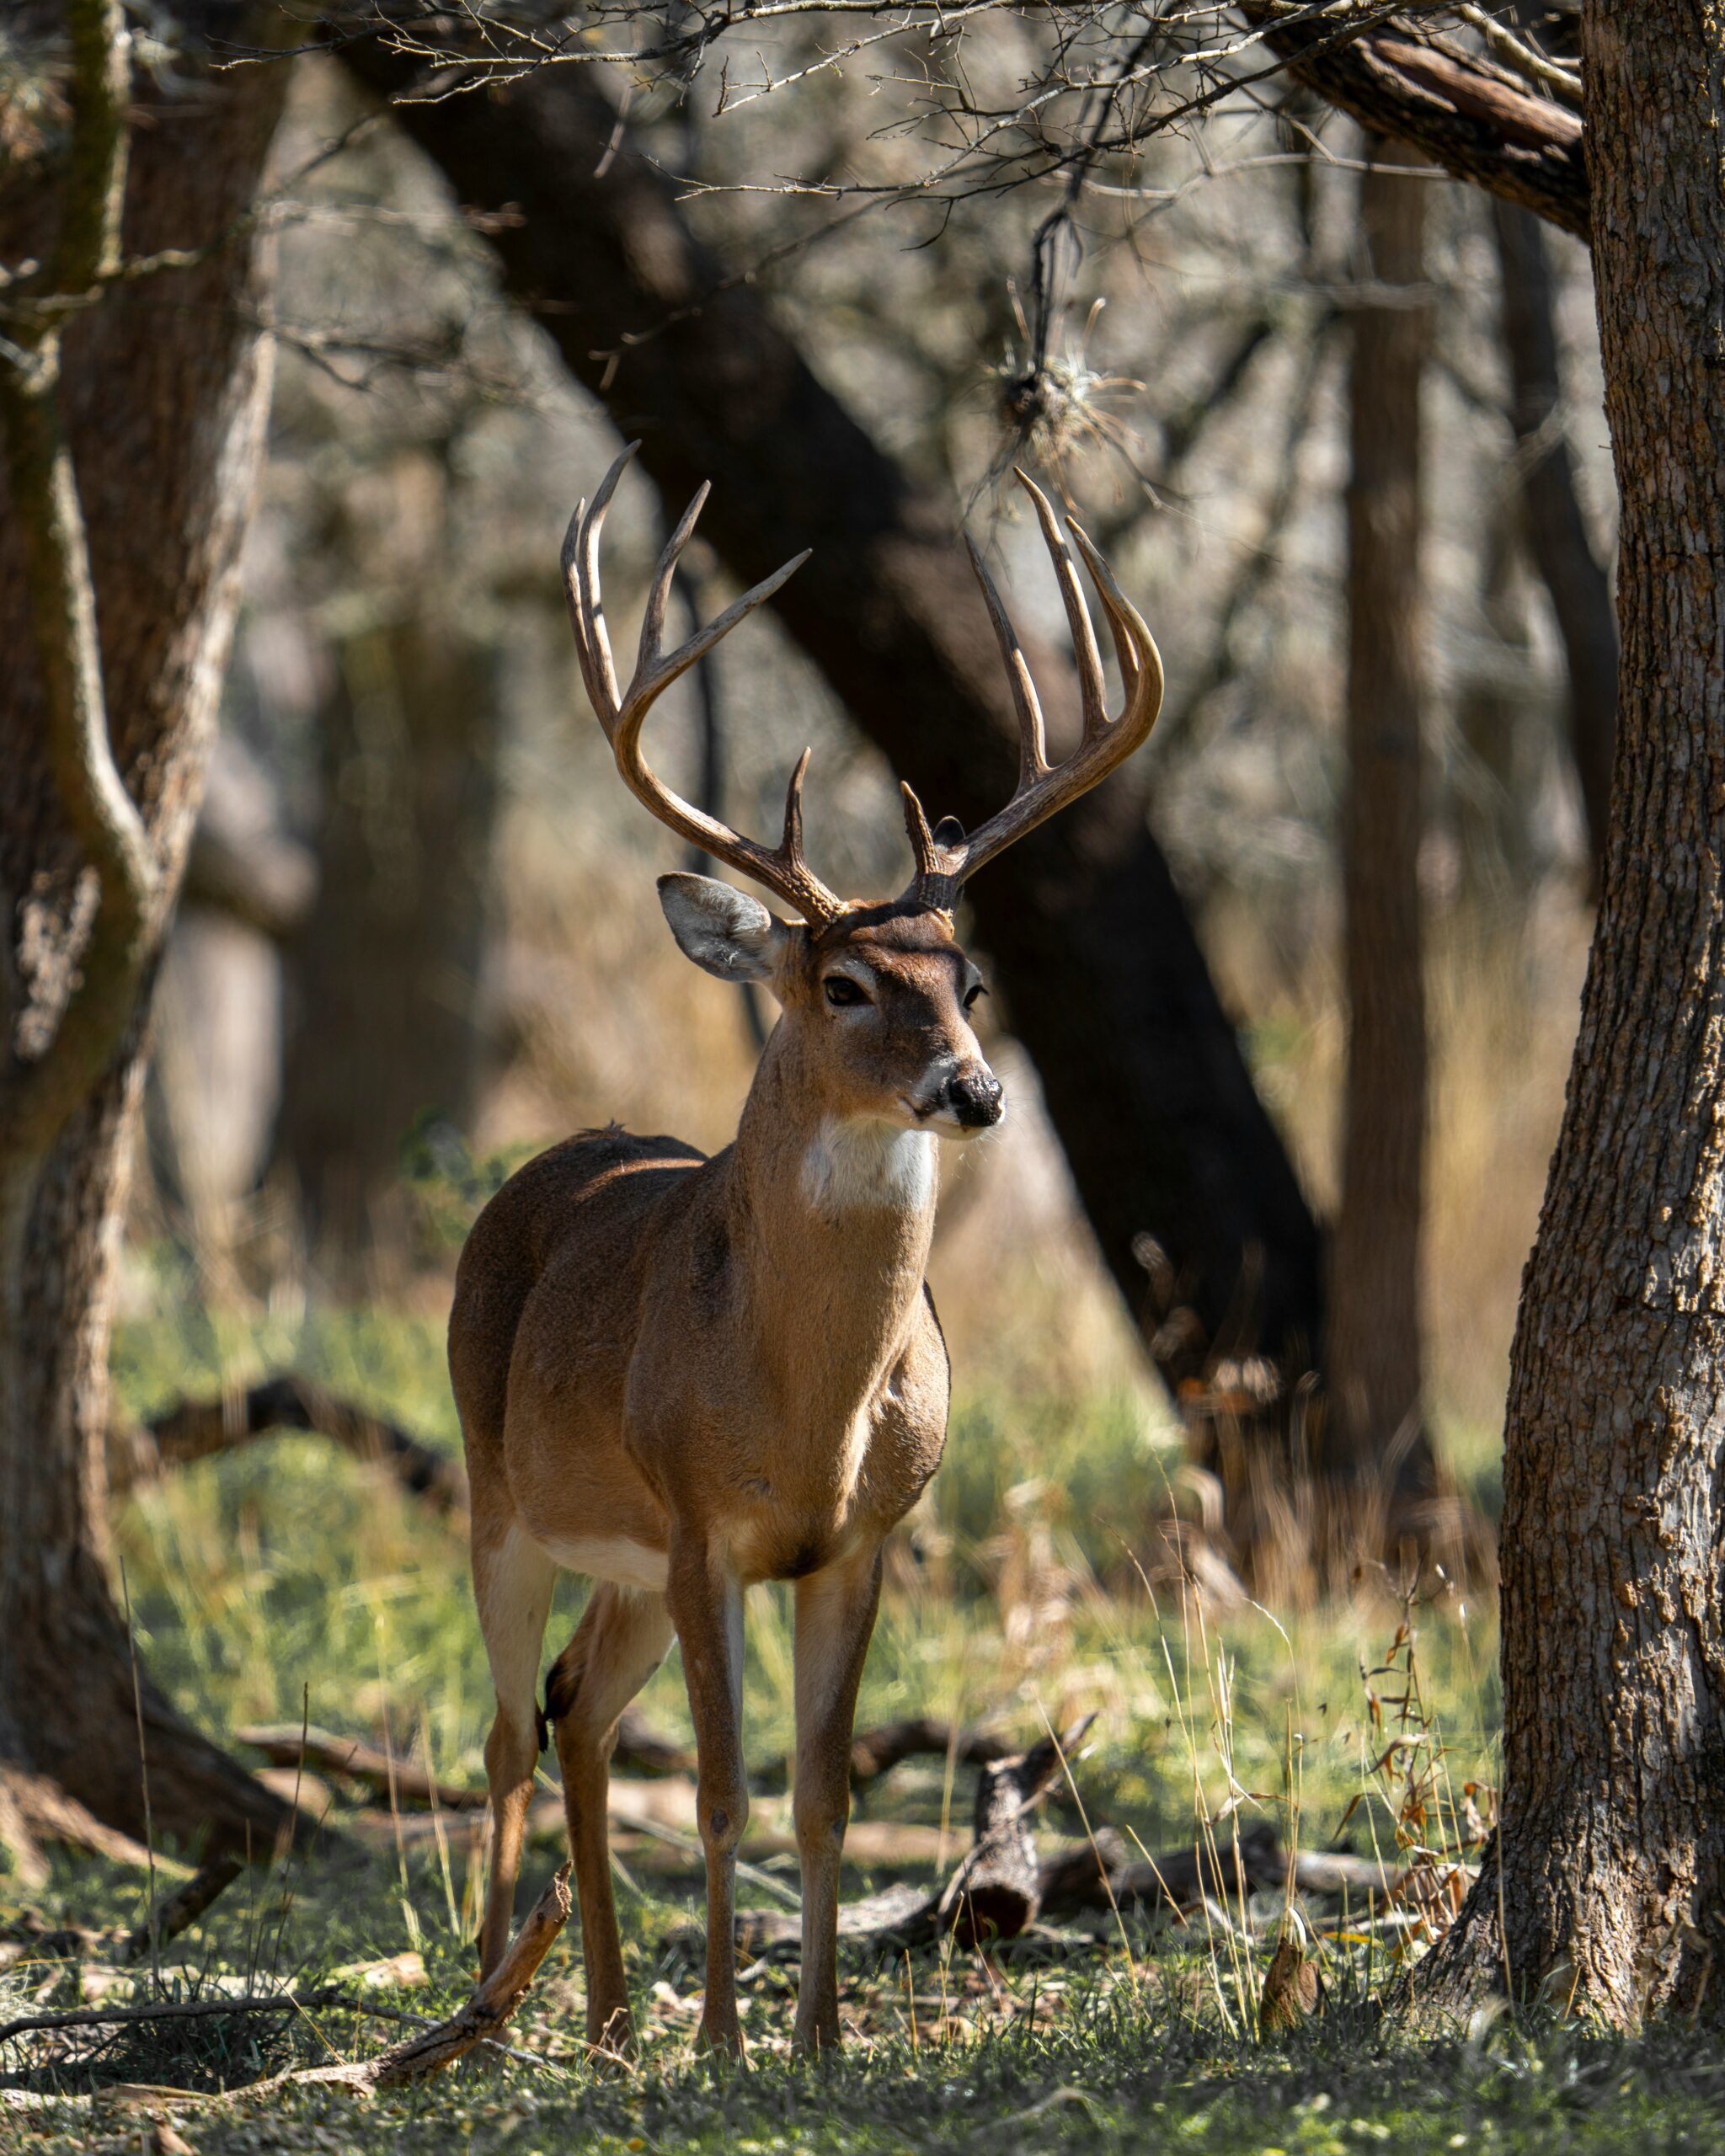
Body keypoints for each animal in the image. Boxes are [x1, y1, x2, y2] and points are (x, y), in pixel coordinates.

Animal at [448, 442, 1164, 2061]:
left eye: (967, 979)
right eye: (841, 983)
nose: (977, 1091)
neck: (802, 1406)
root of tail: (542, 1163)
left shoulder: (862, 1538)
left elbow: (822, 1798)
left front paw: (821, 2040)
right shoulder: (702, 1523)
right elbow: (721, 1797)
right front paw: (724, 2041)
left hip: (621, 1561)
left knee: (578, 1705)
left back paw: (601, 2014)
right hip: (498, 1492)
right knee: (508, 1729)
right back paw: (486, 1995)